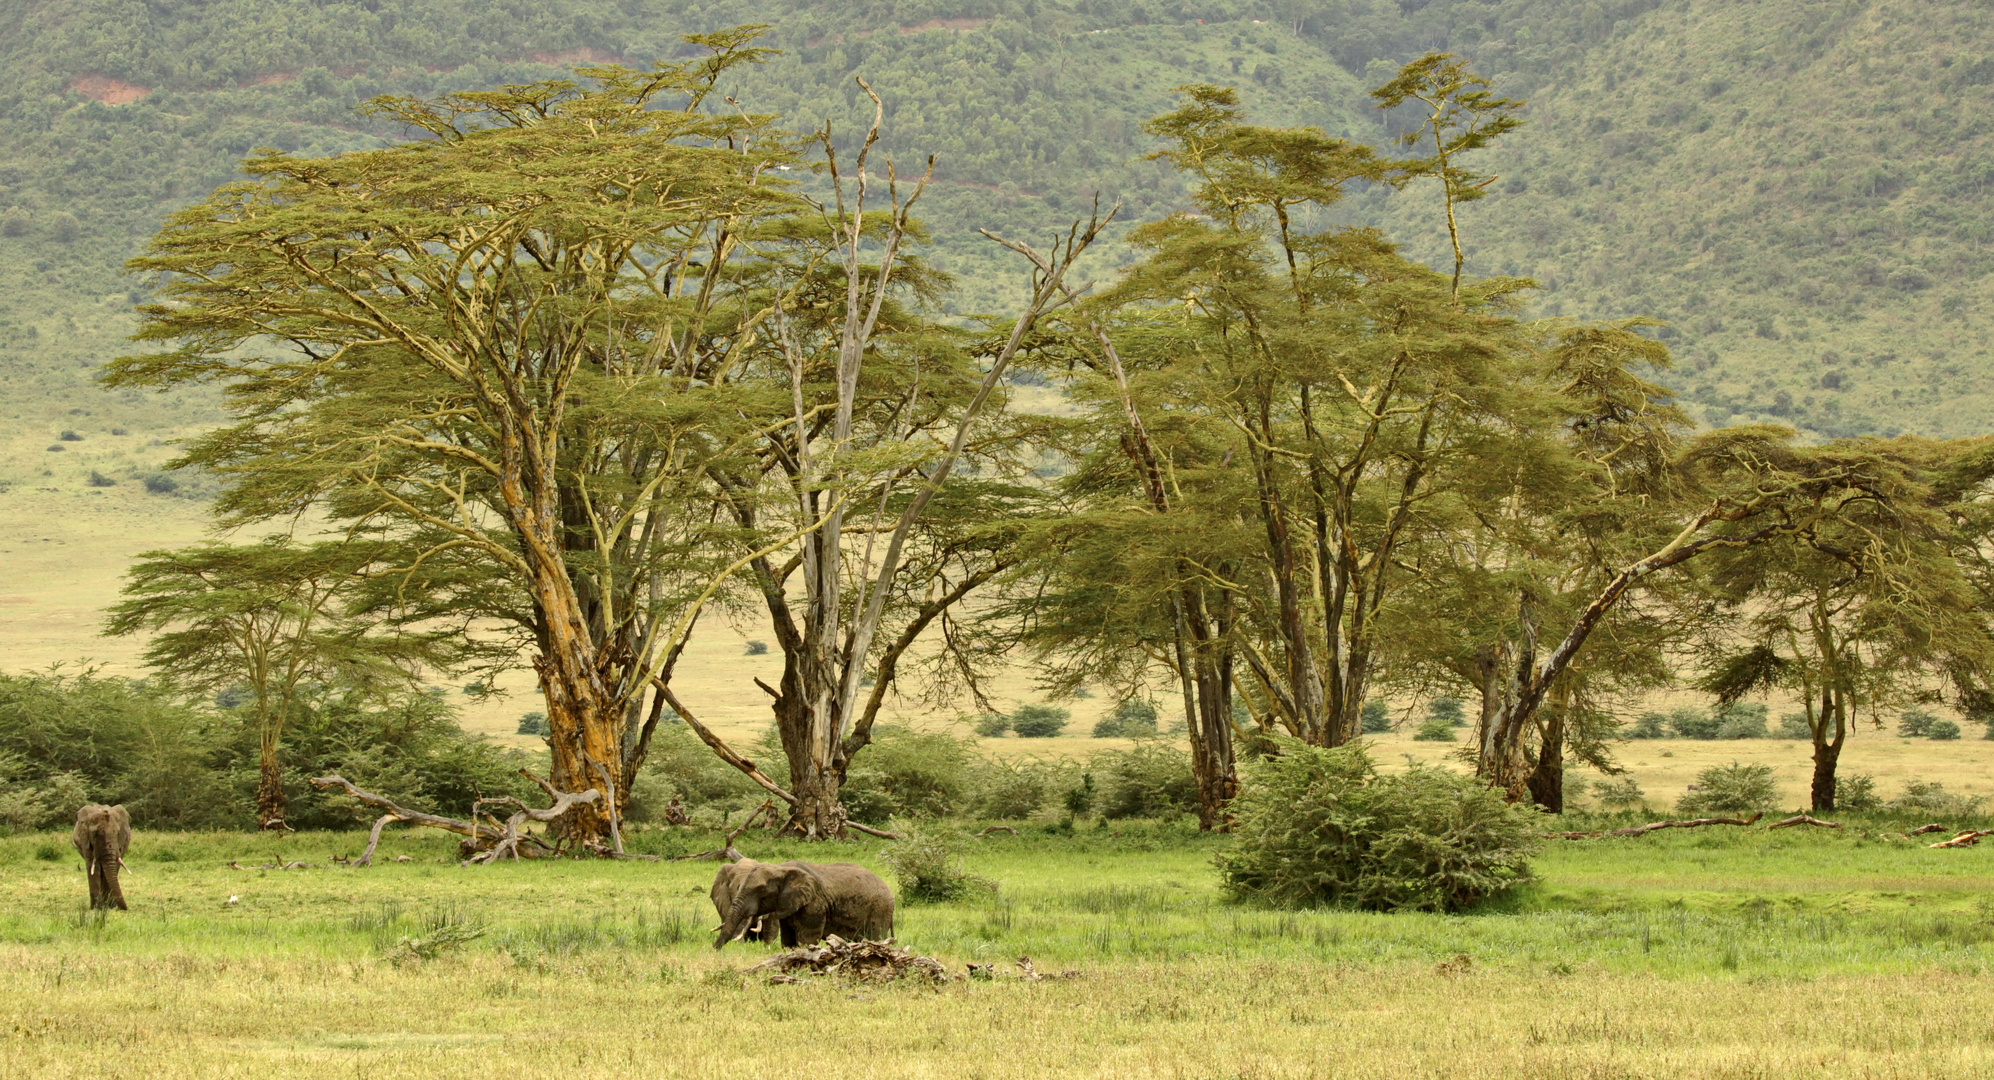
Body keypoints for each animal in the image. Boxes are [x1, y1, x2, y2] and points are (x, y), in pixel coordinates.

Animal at [713, 860, 893, 952]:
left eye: (761, 890)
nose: (714, 950)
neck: (780, 868)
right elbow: (788, 940)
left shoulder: (814, 904)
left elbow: (807, 940)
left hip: (880, 910)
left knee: (877, 938)